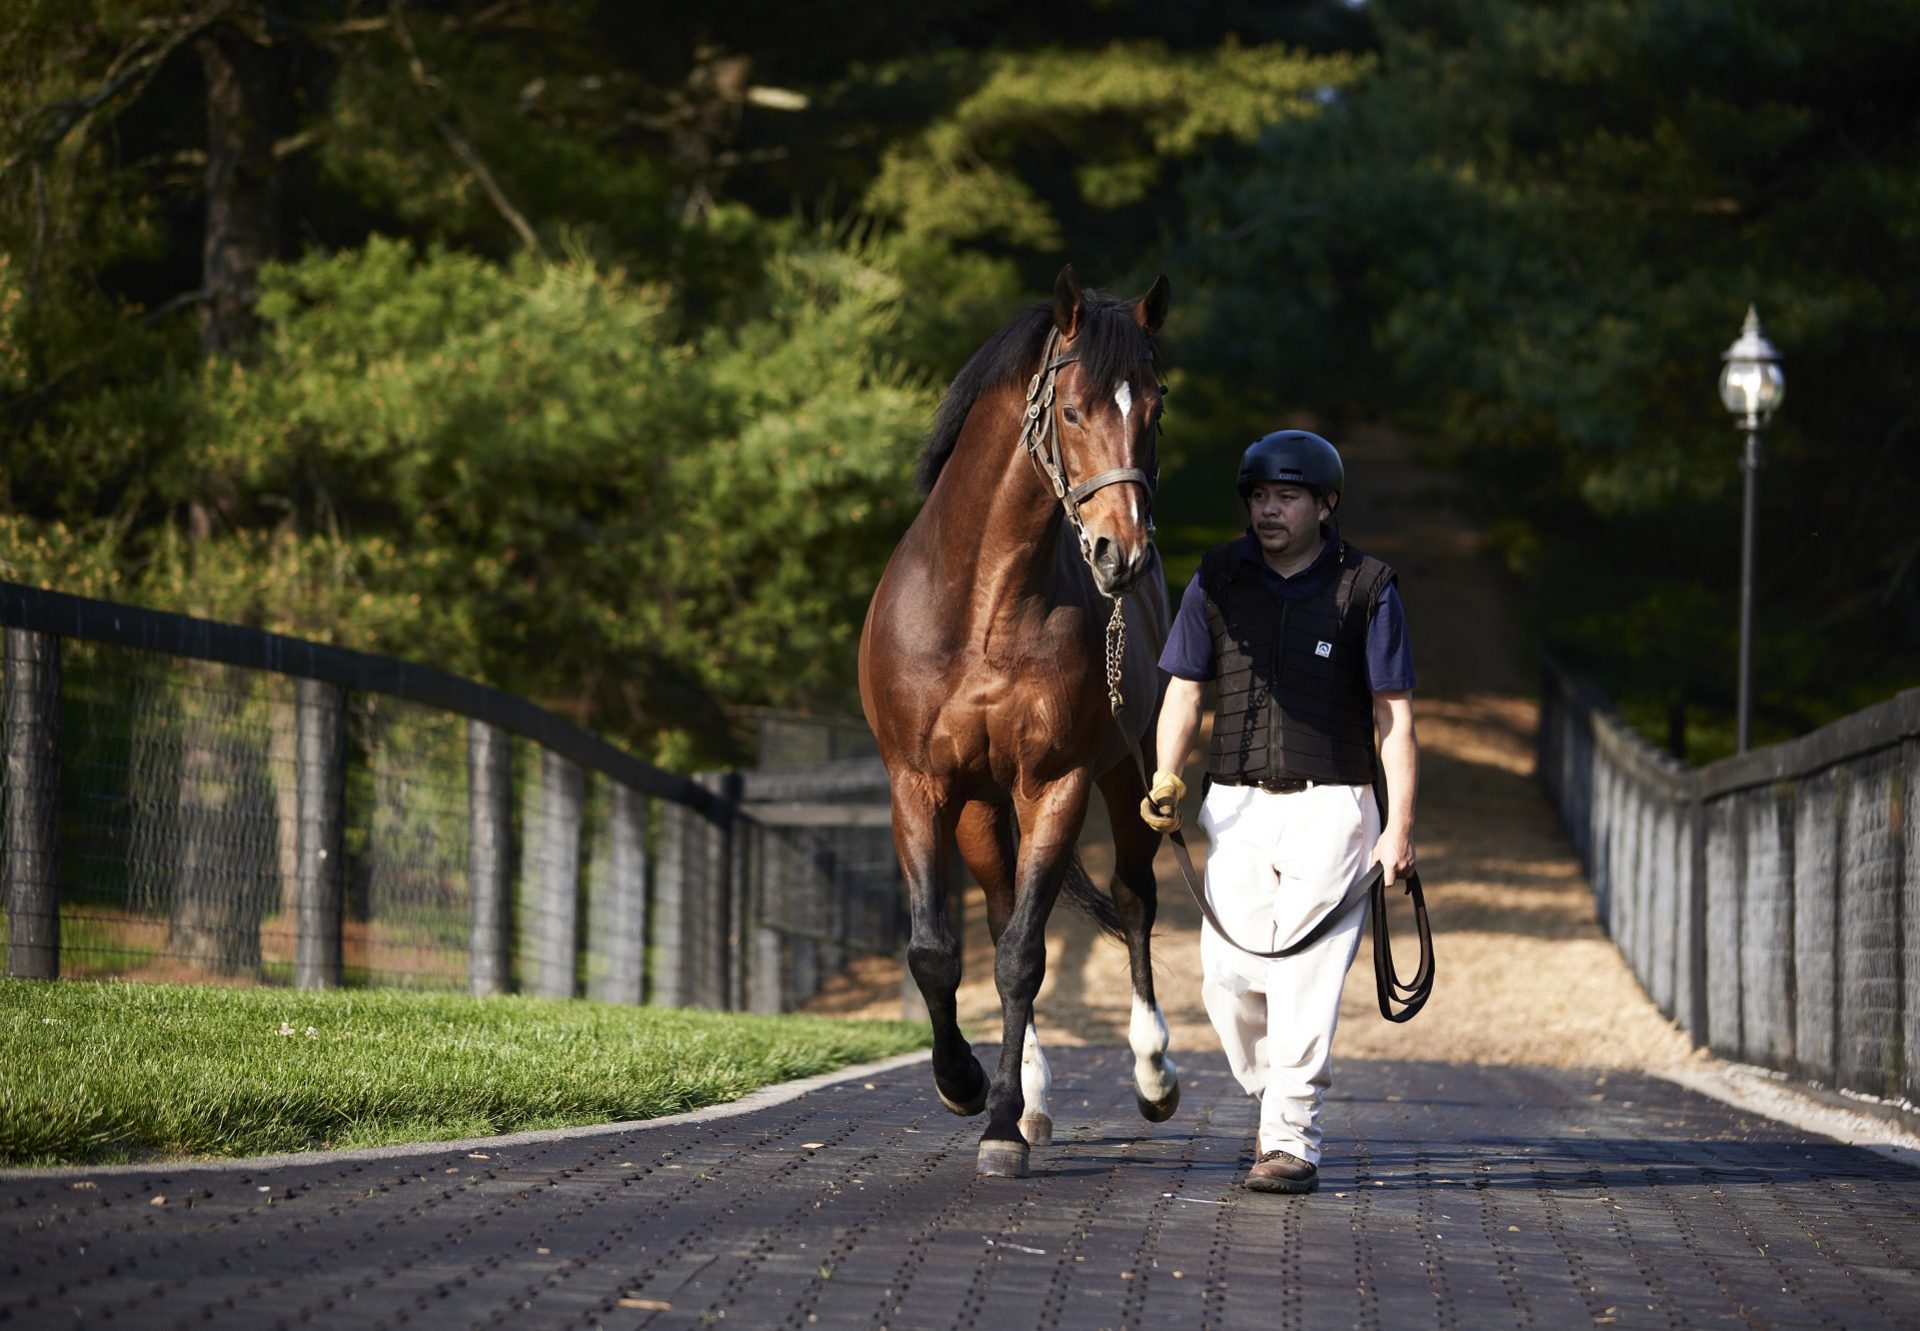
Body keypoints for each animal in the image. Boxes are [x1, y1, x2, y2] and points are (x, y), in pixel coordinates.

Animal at [864, 263, 1175, 1175]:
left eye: (1155, 407)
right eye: (1070, 410)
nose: (1120, 553)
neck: (982, 610)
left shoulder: (1056, 784)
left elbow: (1024, 957)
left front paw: (999, 1122)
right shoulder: (919, 784)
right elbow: (939, 951)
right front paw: (966, 1084)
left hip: (1128, 776)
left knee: (1134, 901)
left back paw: (1151, 1073)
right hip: (977, 805)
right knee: (1003, 906)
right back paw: (1030, 1094)